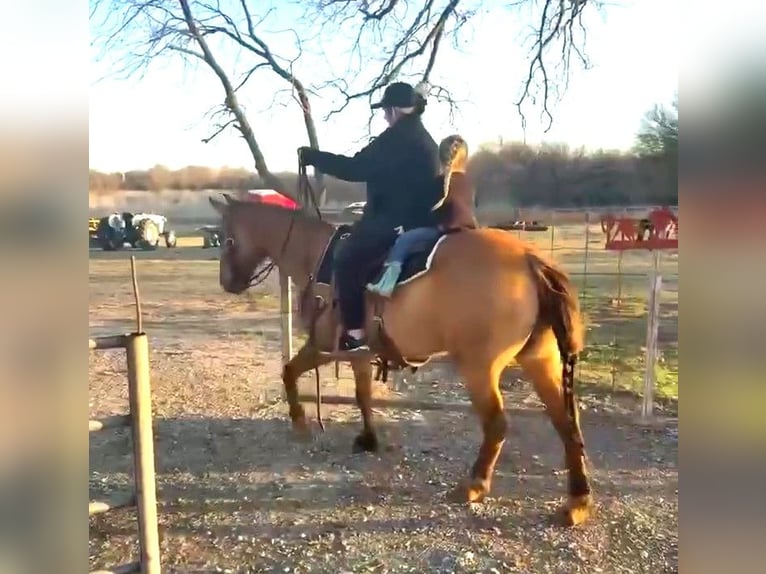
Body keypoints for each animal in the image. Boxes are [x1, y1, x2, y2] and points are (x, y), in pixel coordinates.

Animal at [212, 181, 600, 532]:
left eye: (227, 238)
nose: (227, 283)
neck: (317, 256)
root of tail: (529, 259)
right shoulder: (359, 353)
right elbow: (363, 394)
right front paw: (368, 439)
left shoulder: (324, 345)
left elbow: (290, 371)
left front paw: (300, 423)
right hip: (541, 359)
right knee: (567, 422)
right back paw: (577, 502)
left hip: (480, 367)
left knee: (497, 424)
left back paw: (473, 486)